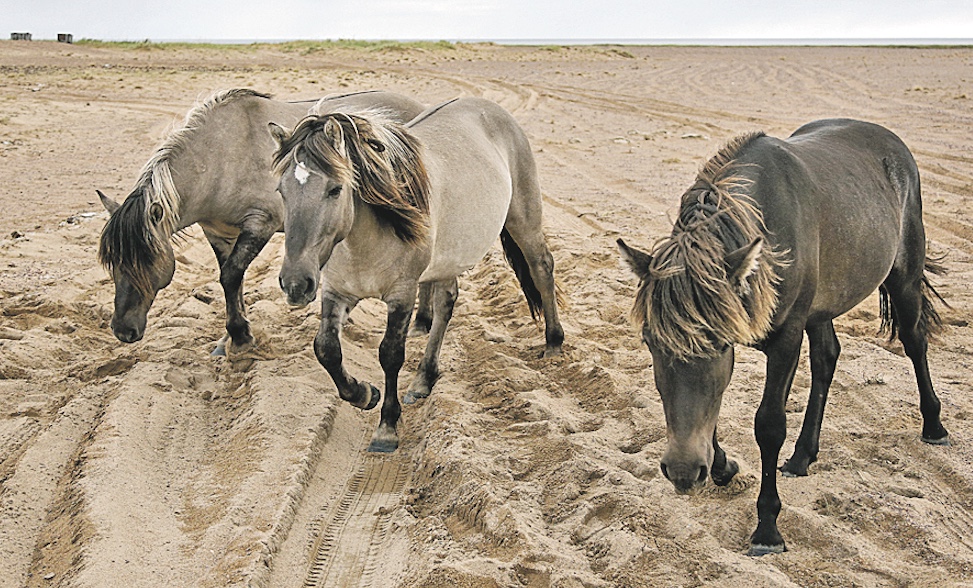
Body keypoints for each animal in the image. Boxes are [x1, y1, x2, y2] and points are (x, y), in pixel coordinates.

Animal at [98, 87, 426, 354]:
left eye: (145, 261)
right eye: (112, 263)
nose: (123, 330)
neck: (219, 157)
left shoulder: (259, 225)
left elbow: (231, 276)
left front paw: (240, 336)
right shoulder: (219, 234)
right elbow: (232, 280)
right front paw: (232, 335)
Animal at [270, 96, 564, 452]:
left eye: (335, 189)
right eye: (281, 190)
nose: (295, 284)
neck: (362, 240)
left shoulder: (402, 295)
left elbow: (390, 354)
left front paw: (387, 427)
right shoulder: (336, 291)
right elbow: (326, 348)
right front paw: (364, 394)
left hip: (524, 220)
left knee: (542, 268)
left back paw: (553, 343)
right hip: (449, 256)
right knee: (447, 301)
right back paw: (424, 379)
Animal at [620, 118, 944, 556]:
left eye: (716, 343)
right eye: (650, 343)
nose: (683, 471)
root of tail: (889, 139)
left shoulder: (786, 338)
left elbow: (769, 425)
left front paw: (767, 527)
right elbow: (710, 411)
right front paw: (723, 466)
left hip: (903, 278)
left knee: (914, 341)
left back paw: (934, 426)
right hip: (822, 307)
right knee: (827, 358)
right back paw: (802, 456)